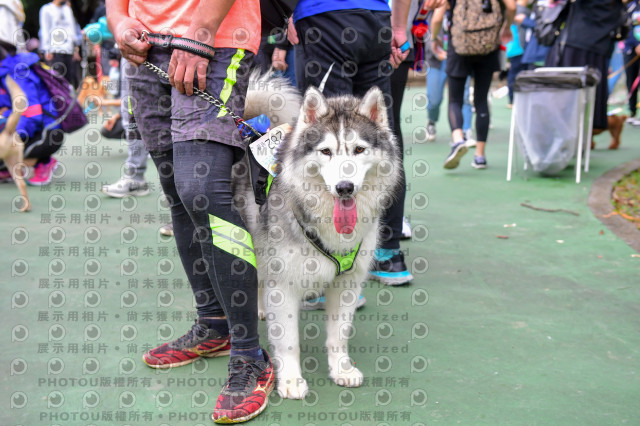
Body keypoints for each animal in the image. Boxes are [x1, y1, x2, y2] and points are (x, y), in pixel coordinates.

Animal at [238, 80, 400, 400]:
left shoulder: (347, 283)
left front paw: (342, 370)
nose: (344, 187)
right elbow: (288, 341)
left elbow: (339, 335)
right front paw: (290, 380)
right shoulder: (284, 283)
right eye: (326, 151)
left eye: (359, 149)